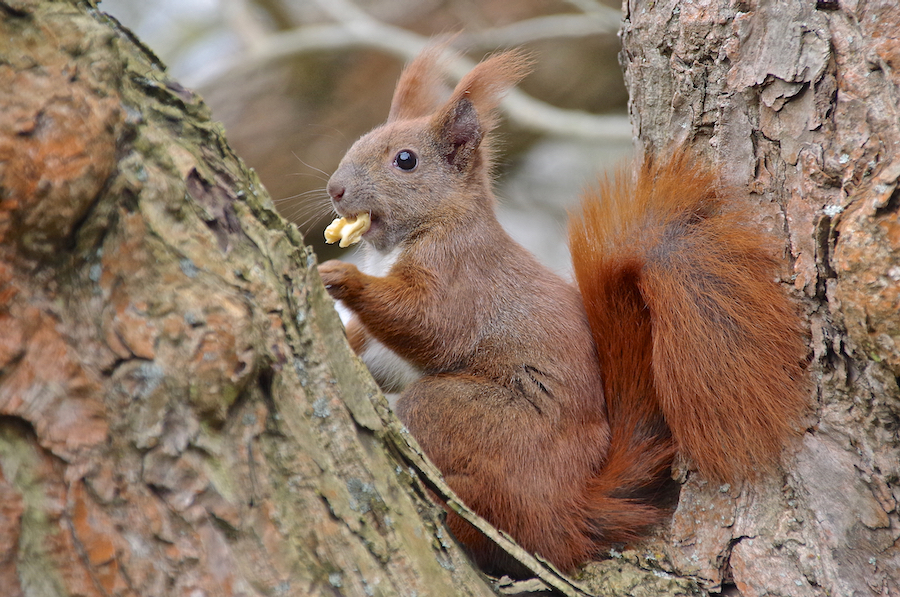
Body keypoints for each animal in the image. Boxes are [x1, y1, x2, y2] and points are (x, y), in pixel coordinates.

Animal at [316, 50, 808, 572]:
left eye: (405, 160)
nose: (335, 189)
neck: (406, 241)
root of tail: (571, 506)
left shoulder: (460, 277)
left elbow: (429, 326)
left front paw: (342, 278)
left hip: (463, 417)